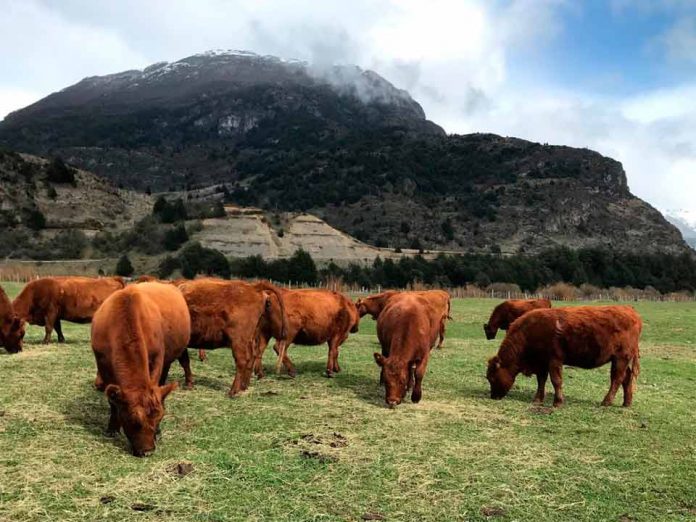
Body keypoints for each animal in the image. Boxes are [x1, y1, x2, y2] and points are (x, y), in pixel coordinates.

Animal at [92, 280, 193, 456]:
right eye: (134, 421)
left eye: (160, 418)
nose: (148, 451)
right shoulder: (103, 364)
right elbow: (112, 401)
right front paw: (112, 428)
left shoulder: (157, 358)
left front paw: (158, 432)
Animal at [486, 304, 644, 406]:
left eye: (491, 377)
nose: (493, 396)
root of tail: (632, 312)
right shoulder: (542, 363)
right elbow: (541, 380)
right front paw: (537, 399)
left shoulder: (554, 360)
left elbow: (556, 380)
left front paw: (557, 402)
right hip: (621, 360)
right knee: (627, 378)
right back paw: (626, 403)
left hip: (620, 358)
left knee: (617, 379)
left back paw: (606, 402)